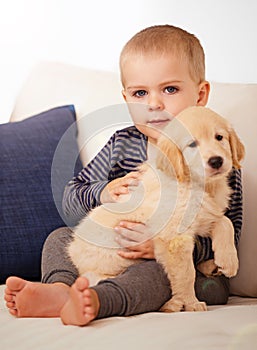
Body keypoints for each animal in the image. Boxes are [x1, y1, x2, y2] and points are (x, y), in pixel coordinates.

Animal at [67, 106, 243, 312]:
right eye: (192, 144)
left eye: (219, 137)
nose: (216, 161)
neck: (198, 184)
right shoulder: (175, 237)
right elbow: (186, 274)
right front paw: (191, 303)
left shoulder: (205, 215)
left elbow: (226, 222)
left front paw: (229, 261)